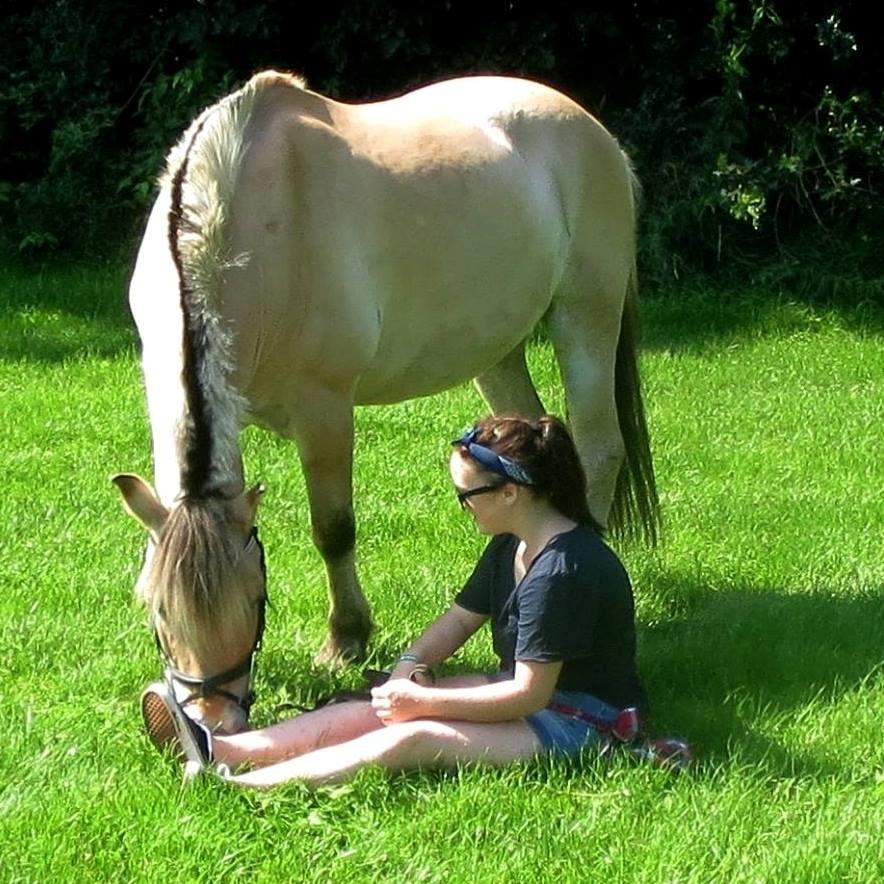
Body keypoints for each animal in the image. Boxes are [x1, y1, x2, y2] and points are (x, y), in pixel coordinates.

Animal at [114, 67, 660, 732]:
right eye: (156, 609)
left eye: (254, 597)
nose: (211, 725)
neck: (252, 234)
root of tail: (594, 131)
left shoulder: (323, 408)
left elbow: (333, 529)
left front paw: (345, 639)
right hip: (497, 349)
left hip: (586, 314)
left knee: (599, 444)